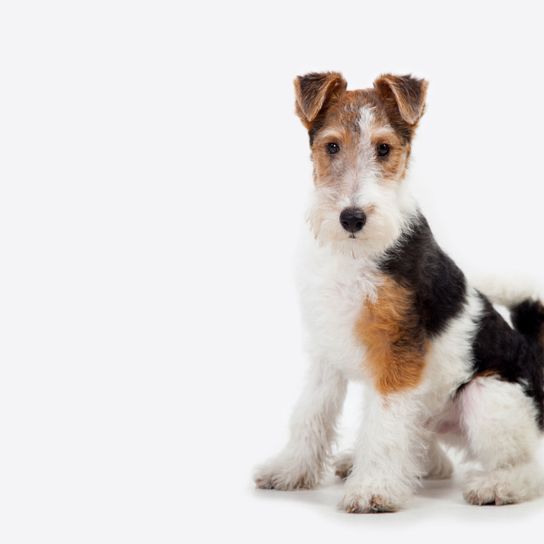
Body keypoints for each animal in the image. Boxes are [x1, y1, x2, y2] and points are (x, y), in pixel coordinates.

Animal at [254, 73, 544, 516]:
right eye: (332, 146)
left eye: (384, 148)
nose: (352, 218)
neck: (353, 253)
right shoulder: (325, 348)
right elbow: (311, 413)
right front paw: (289, 471)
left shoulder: (397, 354)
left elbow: (384, 424)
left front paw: (373, 490)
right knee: (431, 456)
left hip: (486, 396)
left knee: (526, 468)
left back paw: (496, 487)